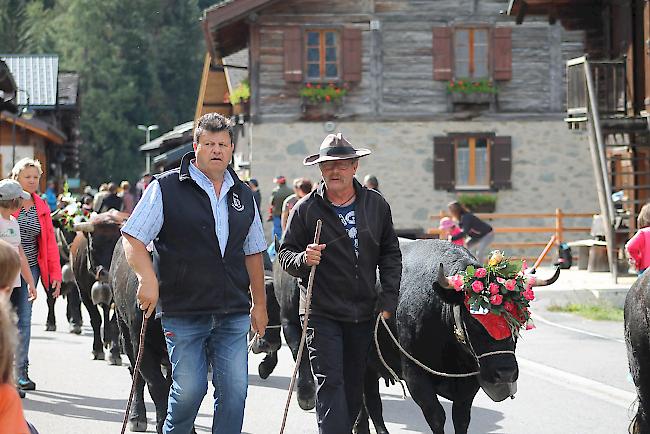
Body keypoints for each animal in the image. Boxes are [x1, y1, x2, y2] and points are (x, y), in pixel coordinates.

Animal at [354, 239, 556, 432]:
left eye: (519, 322)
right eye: (474, 322)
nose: (506, 373)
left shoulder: (469, 383)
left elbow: (461, 419)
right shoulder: (415, 375)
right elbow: (437, 416)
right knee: (371, 402)